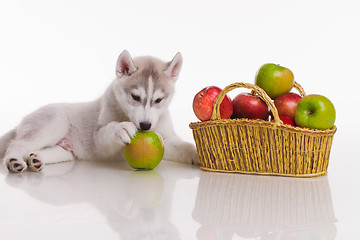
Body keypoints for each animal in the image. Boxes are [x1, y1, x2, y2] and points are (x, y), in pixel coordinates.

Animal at [0, 50, 198, 172]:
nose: (145, 125)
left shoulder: (166, 139)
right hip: (54, 122)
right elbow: (108, 131)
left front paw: (198, 154)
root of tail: (22, 121)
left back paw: (36, 160)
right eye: (135, 97)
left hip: (64, 151)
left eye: (158, 100)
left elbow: (184, 147)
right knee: (18, 144)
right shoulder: (99, 138)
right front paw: (121, 128)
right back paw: (14, 161)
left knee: (38, 151)